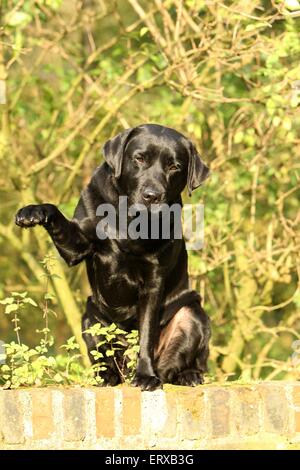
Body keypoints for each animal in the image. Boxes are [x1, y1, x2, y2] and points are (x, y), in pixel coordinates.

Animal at [14, 123, 211, 392]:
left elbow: (146, 335)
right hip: (90, 316)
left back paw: (188, 375)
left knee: (185, 362)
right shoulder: (78, 244)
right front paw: (33, 211)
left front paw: (146, 376)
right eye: (139, 158)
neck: (129, 219)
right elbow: (58, 217)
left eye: (174, 166)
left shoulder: (153, 280)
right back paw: (106, 376)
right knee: (105, 359)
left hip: (192, 314)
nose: (152, 195)